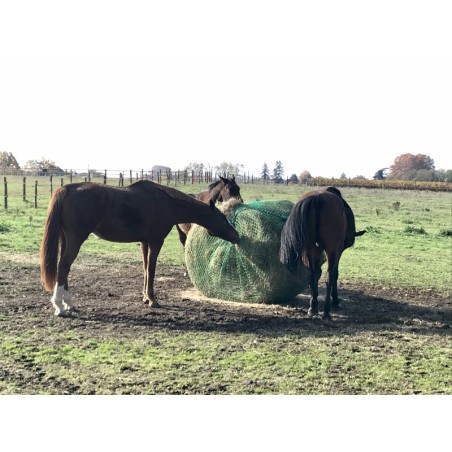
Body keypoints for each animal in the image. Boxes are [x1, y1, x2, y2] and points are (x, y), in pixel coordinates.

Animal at [40, 178, 240, 316]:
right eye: (223, 217)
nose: (236, 235)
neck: (166, 203)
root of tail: (67, 188)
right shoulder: (156, 241)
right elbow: (151, 269)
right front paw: (152, 300)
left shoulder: (144, 242)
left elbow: (145, 269)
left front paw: (145, 297)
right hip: (76, 240)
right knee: (63, 267)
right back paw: (60, 306)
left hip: (66, 240)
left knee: (64, 268)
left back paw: (68, 303)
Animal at [278, 187, 368, 322]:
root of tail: (317, 198)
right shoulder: (338, 250)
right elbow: (335, 274)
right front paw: (335, 301)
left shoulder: (315, 250)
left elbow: (316, 274)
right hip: (332, 250)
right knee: (329, 276)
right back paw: (326, 312)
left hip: (310, 248)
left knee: (312, 274)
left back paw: (313, 308)